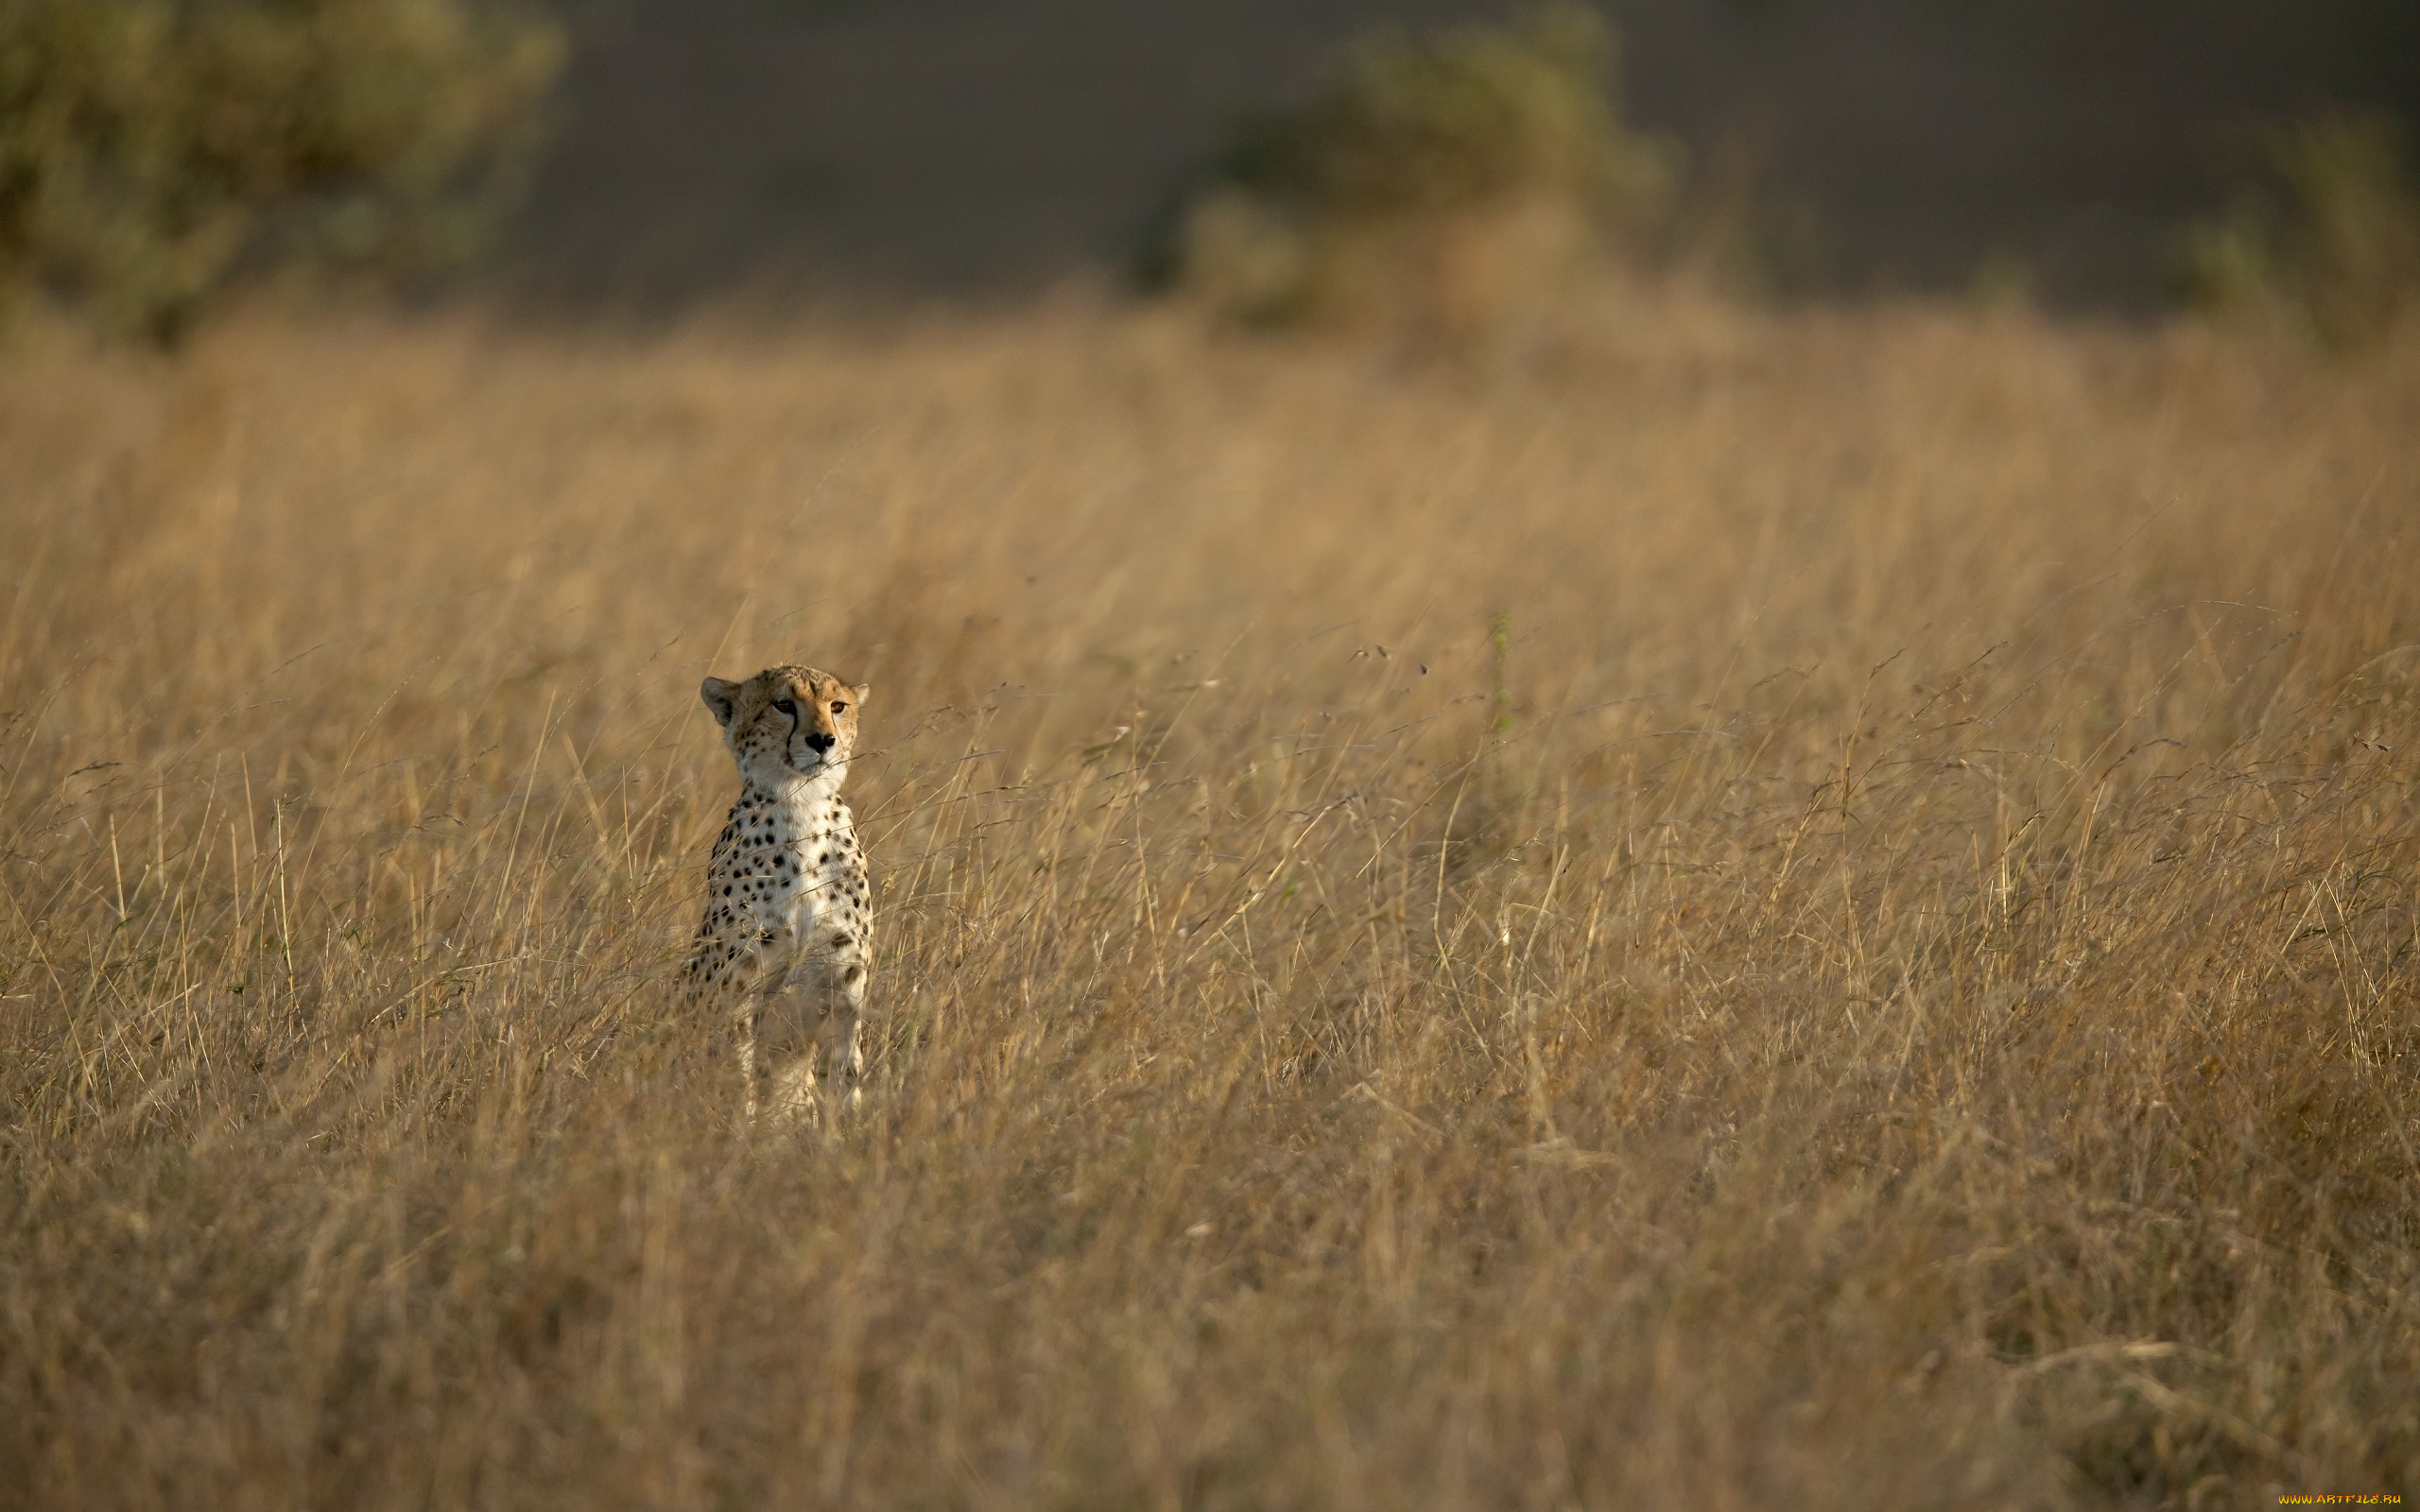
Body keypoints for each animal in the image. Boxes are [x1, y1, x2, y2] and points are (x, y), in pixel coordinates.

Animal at [687, 658, 875, 1122]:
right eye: (783, 705)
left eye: (837, 706)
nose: (822, 740)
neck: (802, 804)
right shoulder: (737, 987)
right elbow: (737, 1076)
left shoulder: (843, 985)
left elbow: (844, 1075)